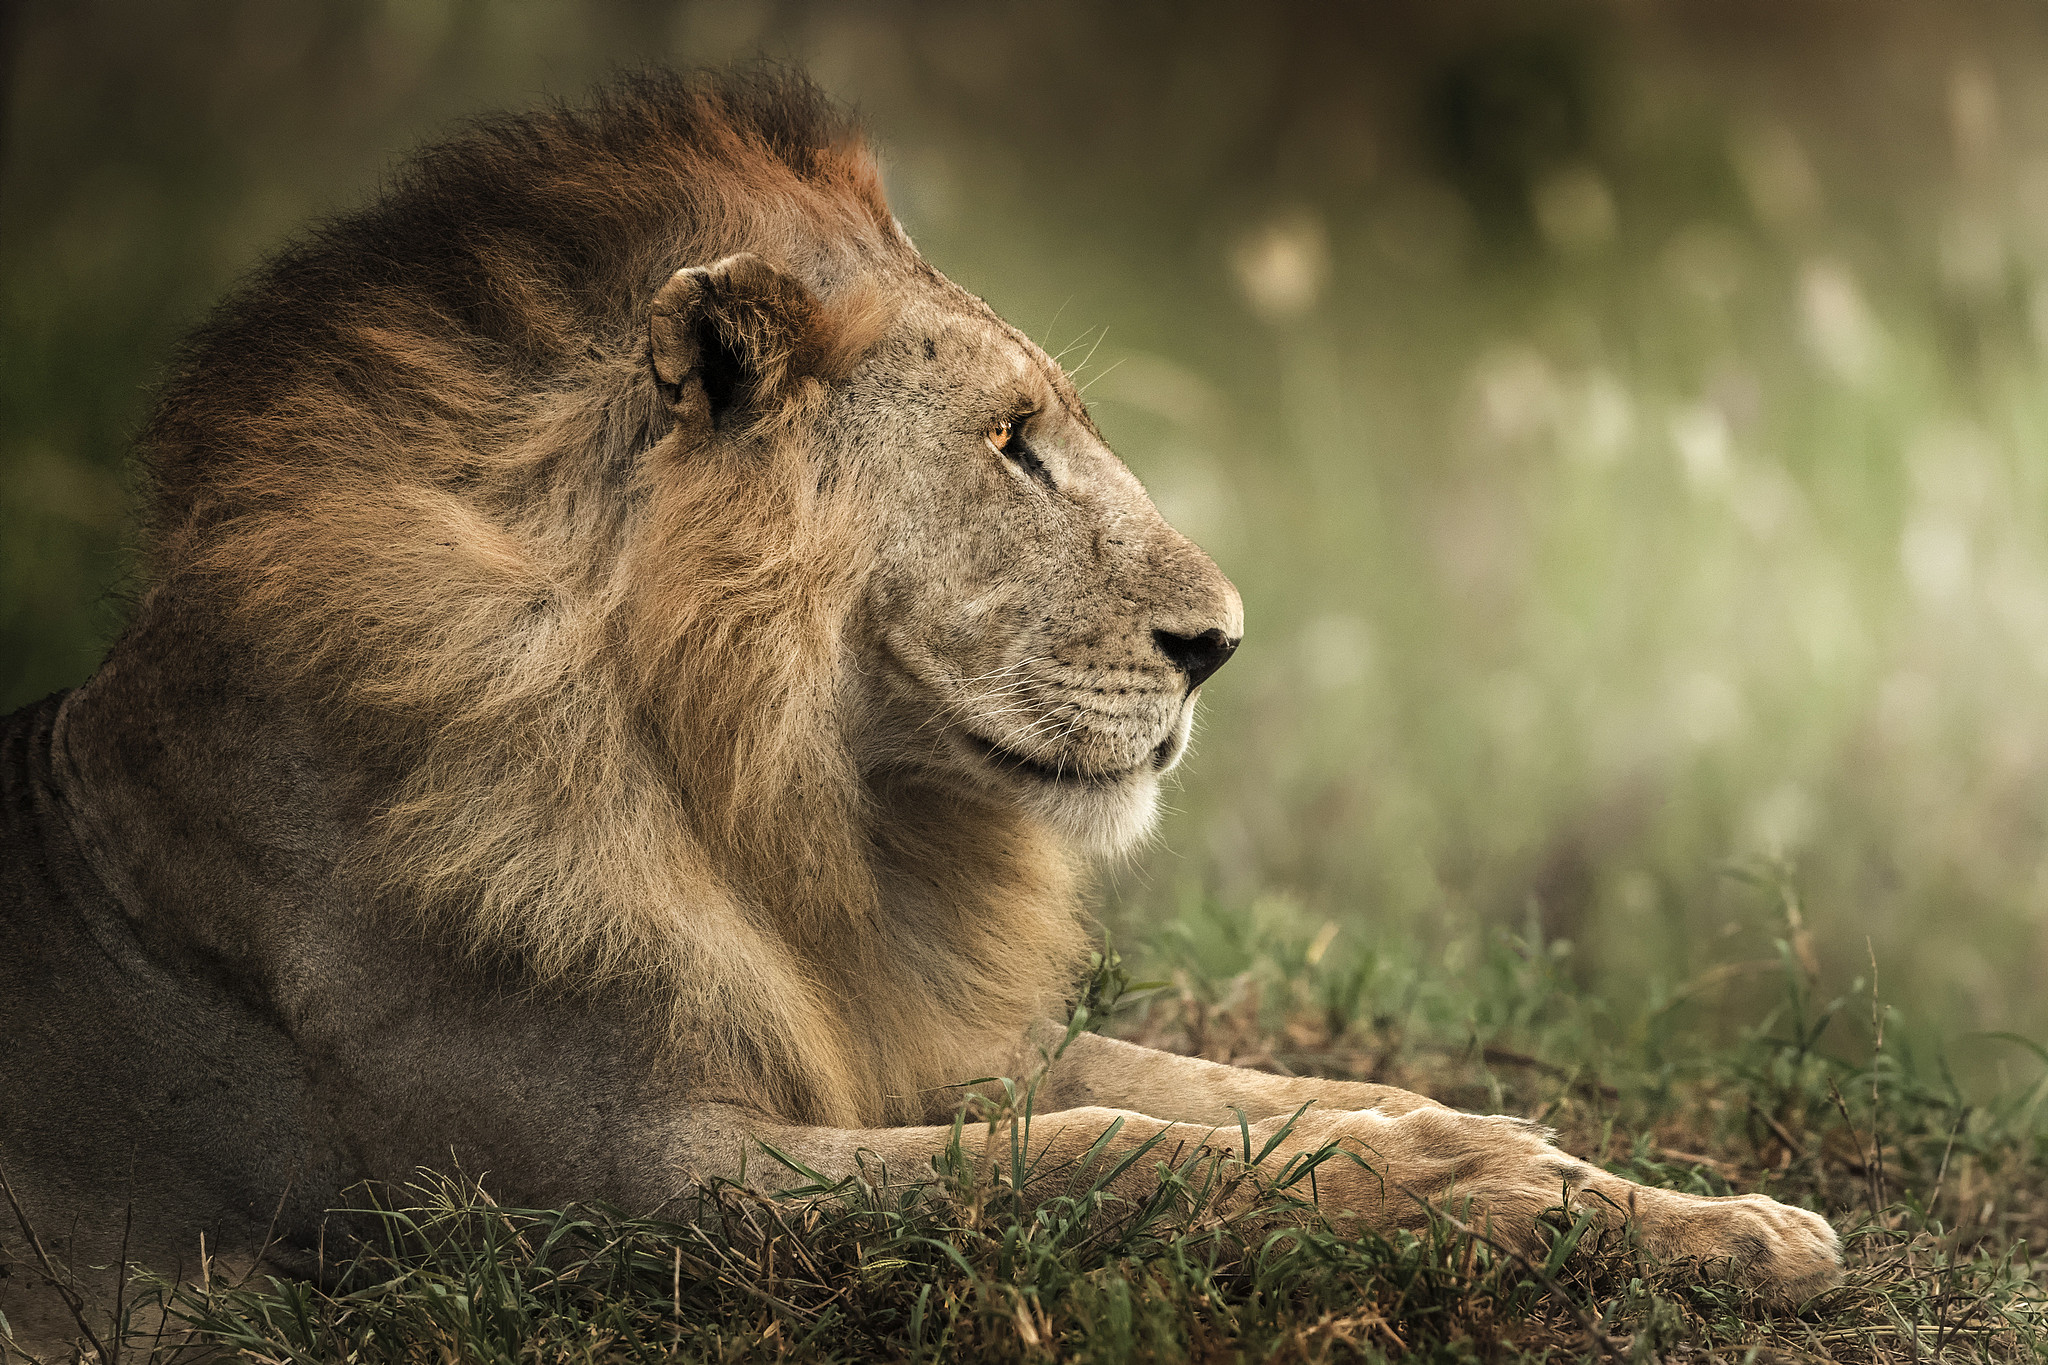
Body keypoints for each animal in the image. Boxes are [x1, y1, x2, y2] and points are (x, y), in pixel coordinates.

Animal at [0, 71, 1839, 1354]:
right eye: (1010, 441)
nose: (1221, 643)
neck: (759, 801)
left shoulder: (893, 1038)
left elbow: (1210, 1088)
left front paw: (1666, 1205)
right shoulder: (606, 1193)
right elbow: (1102, 1155)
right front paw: (1476, 1188)